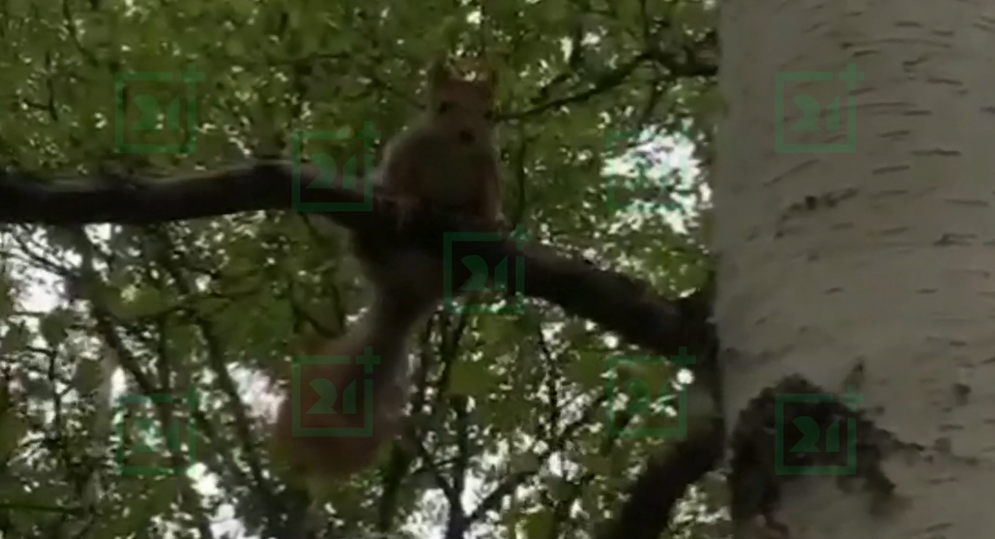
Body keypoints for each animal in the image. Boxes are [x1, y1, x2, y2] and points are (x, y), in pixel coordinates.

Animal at [272, 57, 504, 480]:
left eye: (489, 114)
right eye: (442, 106)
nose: (467, 135)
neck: (452, 152)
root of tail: (405, 295)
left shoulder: (486, 169)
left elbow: (488, 202)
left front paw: (493, 222)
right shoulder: (405, 154)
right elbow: (403, 183)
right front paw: (410, 203)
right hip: (369, 247)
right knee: (368, 243)